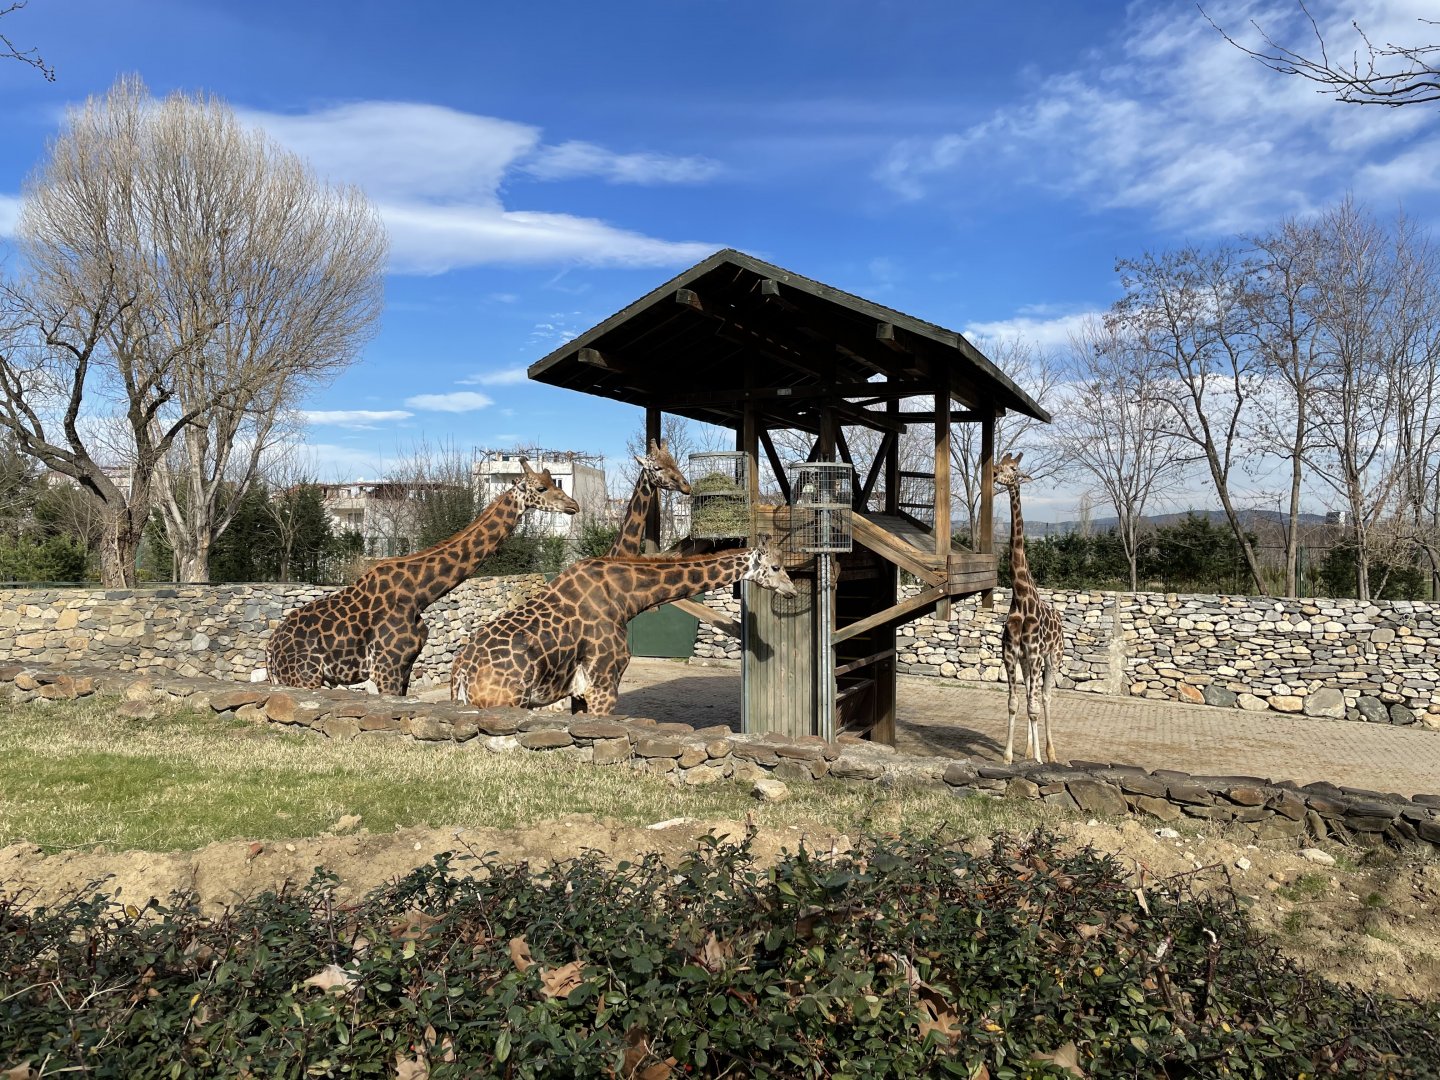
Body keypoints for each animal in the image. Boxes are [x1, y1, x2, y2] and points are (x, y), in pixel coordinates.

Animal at [266, 460, 578, 696]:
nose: (574, 506)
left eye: (555, 483)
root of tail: (270, 650)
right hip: (304, 678)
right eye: (541, 488)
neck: (419, 594)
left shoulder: (405, 665)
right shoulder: (386, 667)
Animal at [451, 539, 796, 713]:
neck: (626, 598)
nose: (792, 590)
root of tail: (463, 673)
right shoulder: (603, 686)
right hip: (506, 702)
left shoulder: (580, 693)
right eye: (775, 567)